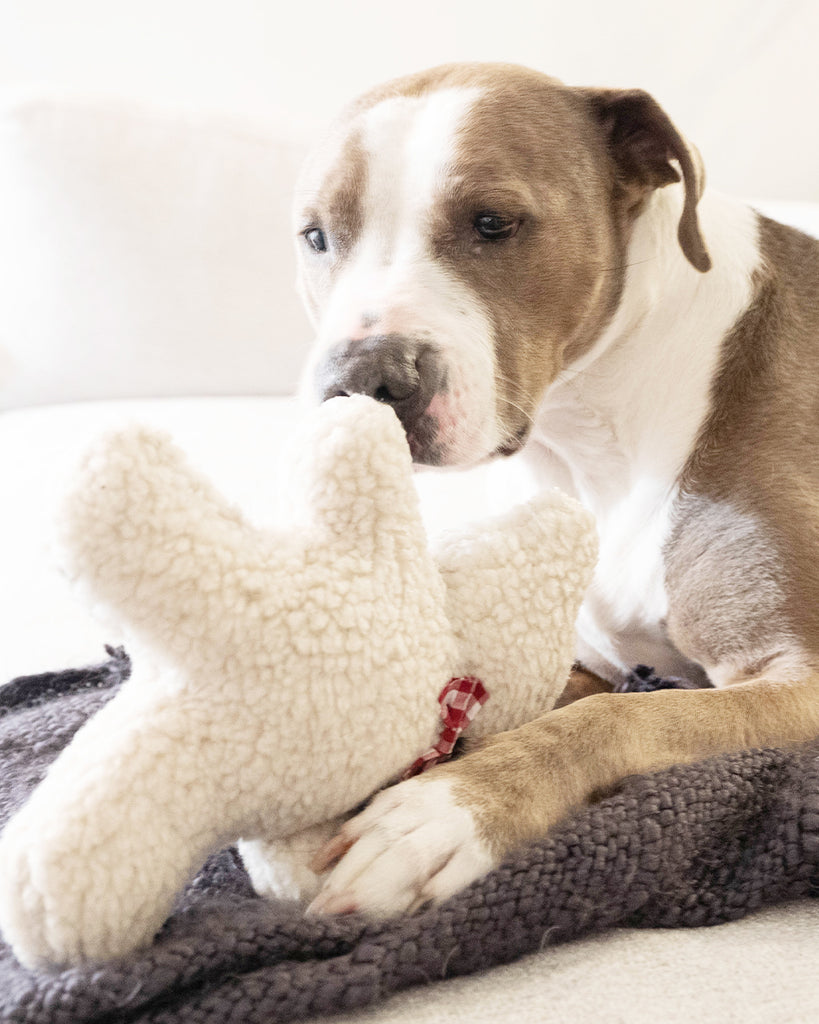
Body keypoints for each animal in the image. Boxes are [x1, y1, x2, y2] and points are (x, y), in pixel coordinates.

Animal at [292, 59, 818, 917]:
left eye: (492, 222)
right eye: (316, 236)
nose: (363, 379)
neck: (594, 433)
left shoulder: (793, 679)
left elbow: (615, 720)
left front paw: (443, 813)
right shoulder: (578, 661)